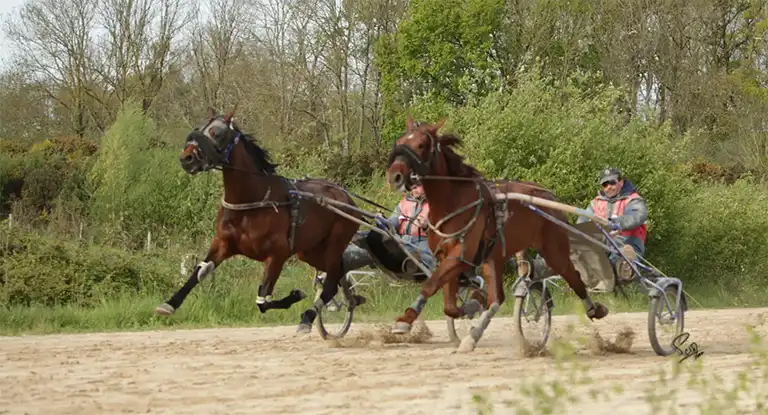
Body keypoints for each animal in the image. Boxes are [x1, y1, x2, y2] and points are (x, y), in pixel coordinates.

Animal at [154, 107, 365, 334]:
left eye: (216, 133)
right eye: (198, 129)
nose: (187, 158)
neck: (251, 202)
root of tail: (347, 198)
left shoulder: (277, 255)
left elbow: (262, 301)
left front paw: (296, 294)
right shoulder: (223, 244)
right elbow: (200, 271)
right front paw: (169, 304)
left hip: (335, 243)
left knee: (331, 281)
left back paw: (308, 317)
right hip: (309, 251)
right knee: (337, 274)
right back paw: (349, 300)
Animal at [385, 116, 609, 352]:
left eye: (421, 145)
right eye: (400, 141)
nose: (395, 176)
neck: (452, 203)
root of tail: (547, 195)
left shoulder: (460, 257)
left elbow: (431, 285)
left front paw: (405, 320)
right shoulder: (445, 257)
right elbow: (450, 305)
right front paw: (472, 304)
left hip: (553, 248)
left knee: (572, 275)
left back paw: (594, 309)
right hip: (494, 257)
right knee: (497, 298)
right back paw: (473, 335)